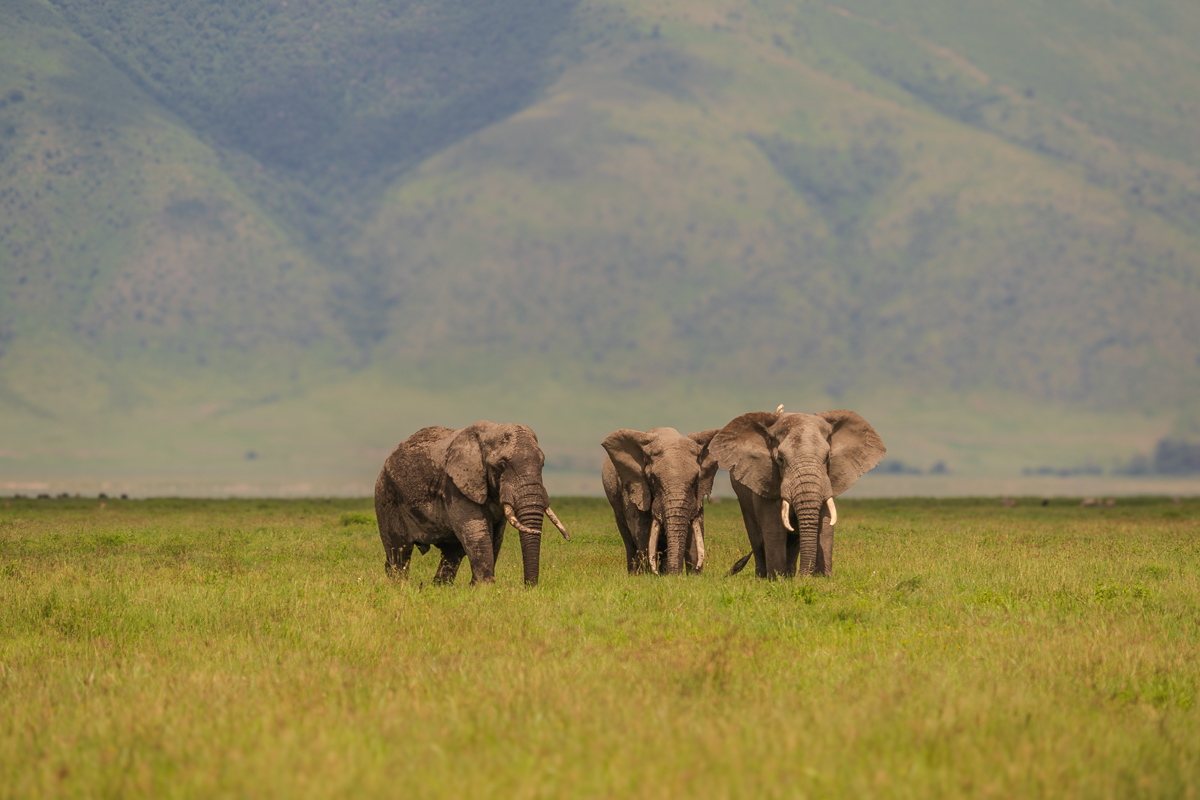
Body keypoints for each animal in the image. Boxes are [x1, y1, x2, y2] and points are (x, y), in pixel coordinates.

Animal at [374, 421, 569, 585]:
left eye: (543, 464)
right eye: (502, 464)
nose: (529, 587)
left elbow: (496, 537)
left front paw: (478, 587)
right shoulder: (455, 485)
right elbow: (476, 532)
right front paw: (484, 588)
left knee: (452, 552)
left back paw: (439, 588)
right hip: (386, 496)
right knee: (398, 550)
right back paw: (398, 587)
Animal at [601, 427, 720, 575]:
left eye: (695, 480)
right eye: (654, 479)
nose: (675, 575)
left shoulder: (697, 498)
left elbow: (696, 533)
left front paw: (694, 576)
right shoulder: (635, 488)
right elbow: (643, 533)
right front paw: (649, 575)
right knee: (629, 541)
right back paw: (635, 574)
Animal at [710, 409, 884, 579]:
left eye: (828, 457)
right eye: (780, 459)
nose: (805, 576)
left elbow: (826, 522)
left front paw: (823, 578)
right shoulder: (765, 478)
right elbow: (773, 527)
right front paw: (777, 579)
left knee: (793, 541)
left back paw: (790, 574)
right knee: (757, 539)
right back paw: (764, 577)